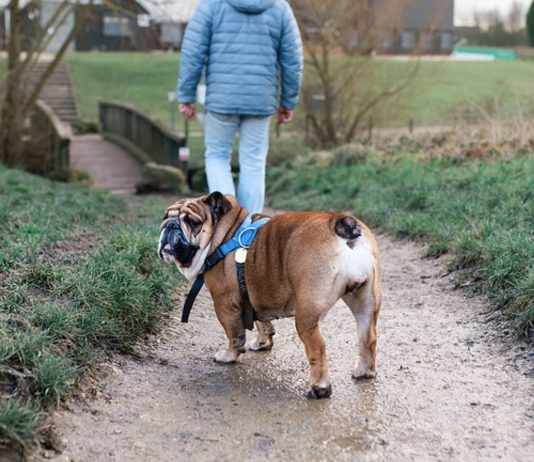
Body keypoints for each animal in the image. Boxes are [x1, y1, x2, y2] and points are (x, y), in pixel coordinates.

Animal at [157, 193, 384, 398]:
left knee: (317, 346)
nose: (170, 225)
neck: (225, 235)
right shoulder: (255, 294)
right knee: (368, 337)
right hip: (365, 300)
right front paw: (263, 342)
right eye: (165, 217)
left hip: (307, 312)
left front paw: (229, 356)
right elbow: (262, 322)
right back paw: (364, 372)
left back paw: (319, 388)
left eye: (193, 222)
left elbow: (234, 334)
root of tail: (340, 222)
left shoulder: (224, 304)